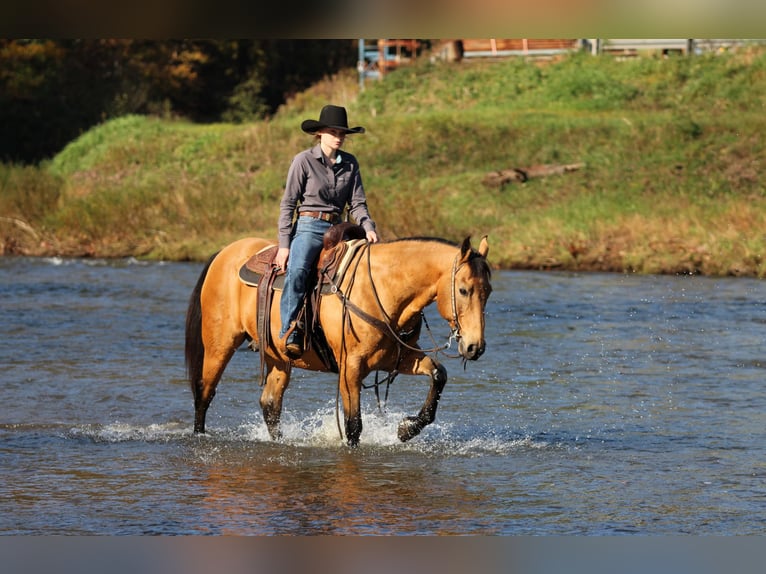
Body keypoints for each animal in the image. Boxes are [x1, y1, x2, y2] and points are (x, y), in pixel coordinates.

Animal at [184, 233, 492, 446]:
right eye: (463, 290)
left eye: (488, 290)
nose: (474, 347)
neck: (381, 290)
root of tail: (225, 252)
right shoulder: (350, 367)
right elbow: (353, 425)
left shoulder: (399, 358)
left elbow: (439, 374)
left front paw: (406, 429)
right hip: (220, 345)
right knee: (204, 393)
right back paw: (199, 435)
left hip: (278, 357)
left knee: (270, 404)